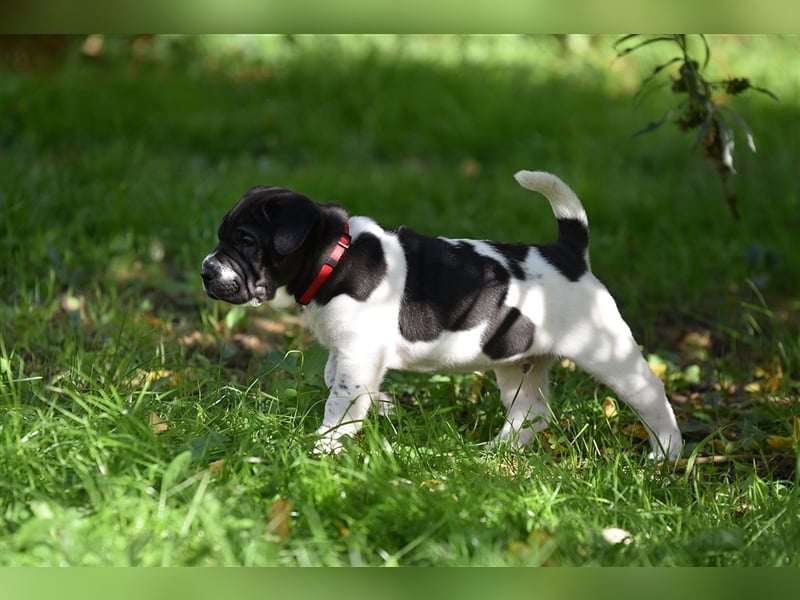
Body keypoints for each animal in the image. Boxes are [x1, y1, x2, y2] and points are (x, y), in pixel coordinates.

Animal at [203, 169, 684, 460]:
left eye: (246, 241)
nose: (207, 271)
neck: (334, 258)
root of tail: (568, 253)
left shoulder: (358, 351)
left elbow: (340, 400)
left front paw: (326, 445)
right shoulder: (348, 350)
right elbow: (334, 380)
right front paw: (382, 403)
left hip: (608, 353)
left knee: (652, 395)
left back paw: (665, 454)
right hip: (516, 363)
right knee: (532, 413)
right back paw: (497, 452)